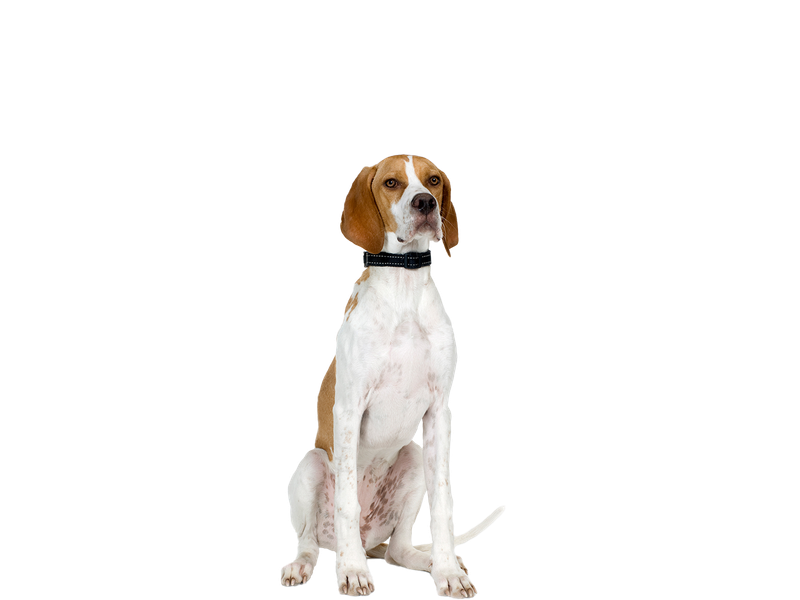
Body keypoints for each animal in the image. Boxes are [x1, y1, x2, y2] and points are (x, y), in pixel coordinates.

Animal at [280, 154, 506, 596]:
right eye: (391, 183)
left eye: (433, 181)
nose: (425, 204)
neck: (403, 282)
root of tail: (371, 541)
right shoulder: (349, 409)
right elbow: (347, 502)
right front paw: (352, 572)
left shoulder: (439, 412)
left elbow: (444, 503)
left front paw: (449, 572)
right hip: (311, 465)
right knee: (311, 540)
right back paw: (308, 564)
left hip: (413, 457)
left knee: (400, 549)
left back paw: (432, 561)